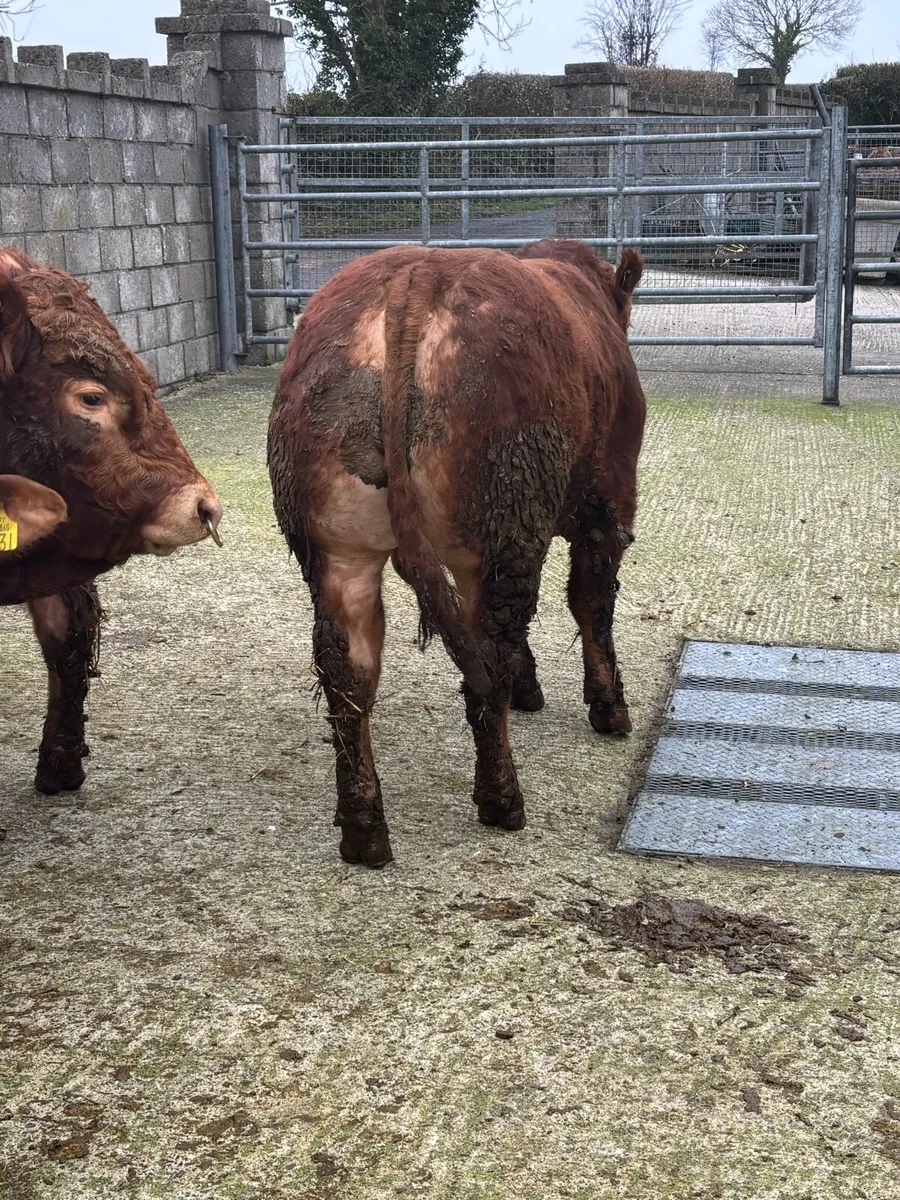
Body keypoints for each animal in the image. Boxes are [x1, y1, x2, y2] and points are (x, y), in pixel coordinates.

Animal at [268, 239, 646, 867]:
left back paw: (365, 829)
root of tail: (415, 274)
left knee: (349, 671)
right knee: (489, 655)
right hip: (502, 525)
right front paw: (609, 707)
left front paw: (535, 691)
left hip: (338, 548)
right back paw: (502, 798)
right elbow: (592, 603)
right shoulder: (610, 499)